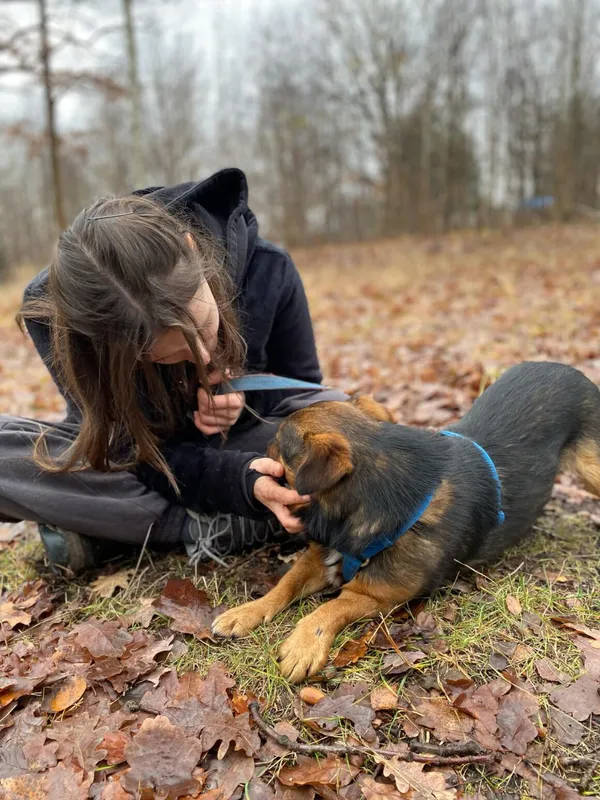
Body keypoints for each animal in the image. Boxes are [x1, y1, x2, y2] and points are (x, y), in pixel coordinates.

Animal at [212, 362, 600, 680]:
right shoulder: (320, 558)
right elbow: (284, 586)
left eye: (277, 442)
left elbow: (328, 608)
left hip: (591, 469)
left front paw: (304, 642)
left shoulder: (376, 596)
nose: (255, 454)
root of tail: (566, 368)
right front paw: (245, 612)